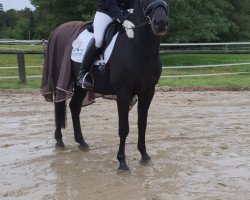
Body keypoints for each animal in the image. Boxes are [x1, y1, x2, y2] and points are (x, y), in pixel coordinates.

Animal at [50, 0, 169, 171]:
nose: (160, 23)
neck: (139, 47)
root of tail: (58, 31)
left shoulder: (147, 92)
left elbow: (142, 124)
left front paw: (144, 155)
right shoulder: (123, 94)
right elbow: (123, 128)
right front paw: (122, 162)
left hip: (80, 87)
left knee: (74, 107)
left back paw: (82, 142)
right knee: (59, 104)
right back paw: (59, 140)